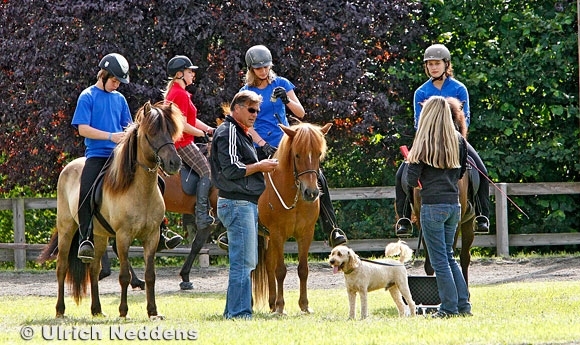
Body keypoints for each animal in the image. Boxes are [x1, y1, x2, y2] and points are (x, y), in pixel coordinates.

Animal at [38, 101, 182, 318]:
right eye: (152, 132)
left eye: (171, 131)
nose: (175, 163)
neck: (140, 190)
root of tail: (68, 168)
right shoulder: (123, 236)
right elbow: (123, 276)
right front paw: (123, 311)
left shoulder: (152, 236)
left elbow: (150, 275)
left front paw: (152, 311)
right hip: (67, 229)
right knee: (61, 267)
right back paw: (60, 310)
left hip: (98, 236)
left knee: (94, 270)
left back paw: (97, 310)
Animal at [253, 121, 330, 314]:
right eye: (297, 154)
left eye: (319, 154)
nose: (311, 193)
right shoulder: (278, 233)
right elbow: (280, 270)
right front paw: (281, 306)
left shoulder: (306, 234)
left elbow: (303, 269)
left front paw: (304, 305)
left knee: (268, 263)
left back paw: (272, 303)